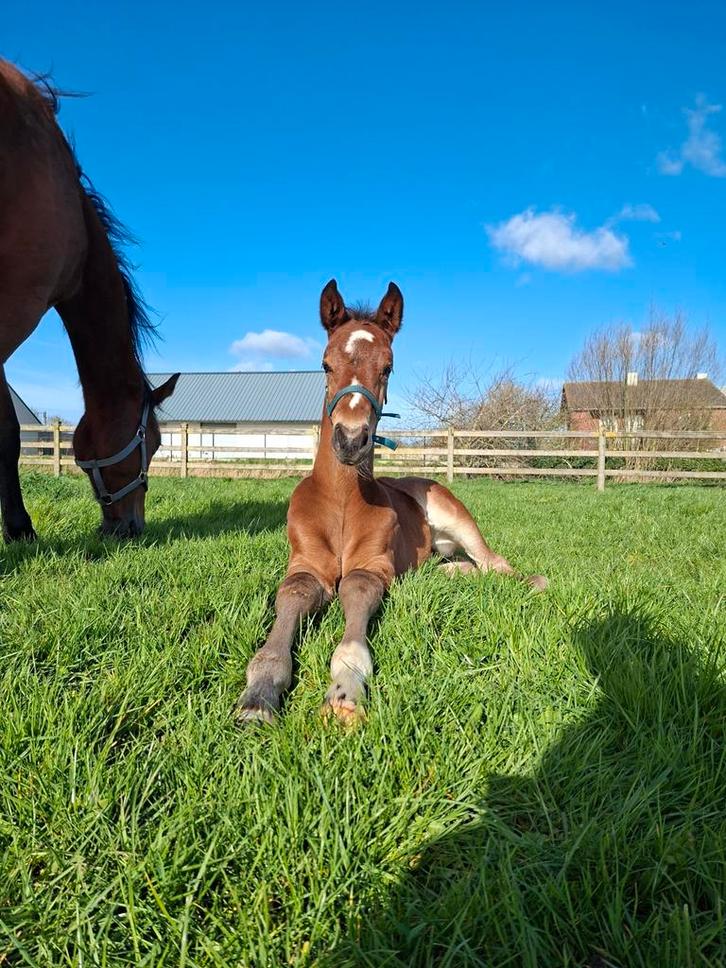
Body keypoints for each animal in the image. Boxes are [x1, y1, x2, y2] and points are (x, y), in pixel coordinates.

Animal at [235, 280, 547, 724]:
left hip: (457, 518)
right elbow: (294, 594)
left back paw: (531, 581)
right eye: (325, 364)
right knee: (461, 567)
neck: (342, 503)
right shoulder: (305, 563)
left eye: (388, 367)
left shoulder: (374, 564)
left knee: (494, 563)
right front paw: (258, 695)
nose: (350, 439)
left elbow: (356, 588)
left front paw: (345, 689)